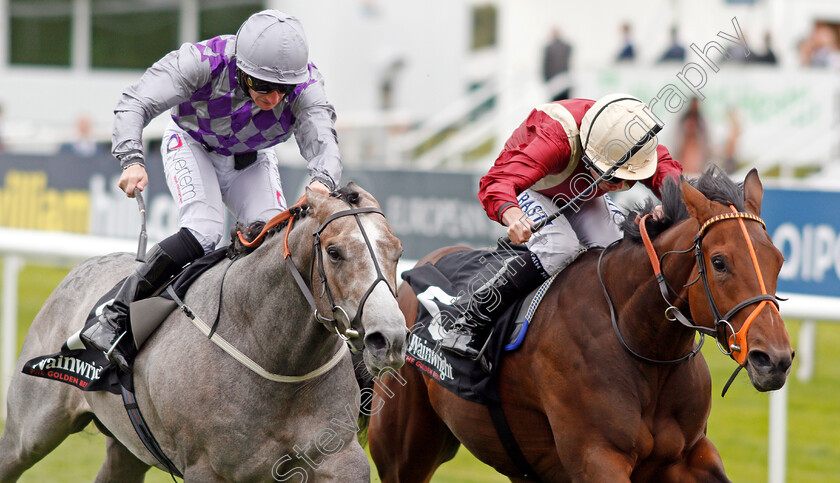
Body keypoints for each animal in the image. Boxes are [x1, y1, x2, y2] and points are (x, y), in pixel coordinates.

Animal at [0, 183, 406, 482]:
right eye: (335, 252)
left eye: (398, 251)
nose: (388, 339)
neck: (275, 356)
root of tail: (83, 267)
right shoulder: (207, 468)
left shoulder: (337, 457)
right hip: (30, 431)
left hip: (126, 447)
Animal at [370, 168, 792, 482]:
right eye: (720, 262)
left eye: (779, 258)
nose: (775, 359)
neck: (639, 342)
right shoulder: (597, 458)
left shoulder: (690, 455)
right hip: (404, 449)